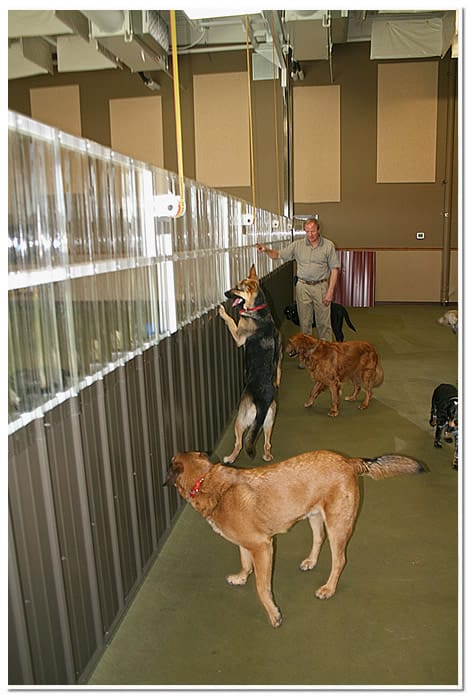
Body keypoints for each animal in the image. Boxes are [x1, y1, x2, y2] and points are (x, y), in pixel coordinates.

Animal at [164, 450, 424, 627]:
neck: (206, 480)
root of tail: (349, 462)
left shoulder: (262, 547)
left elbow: (261, 587)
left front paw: (273, 614)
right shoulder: (247, 545)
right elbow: (245, 563)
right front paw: (240, 578)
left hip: (338, 526)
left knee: (339, 560)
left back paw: (328, 589)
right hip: (315, 517)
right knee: (319, 539)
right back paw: (310, 562)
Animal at [218, 264, 282, 463]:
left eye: (238, 288)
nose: (225, 293)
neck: (258, 309)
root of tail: (262, 402)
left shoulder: (239, 337)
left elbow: (232, 321)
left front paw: (223, 312)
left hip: (240, 421)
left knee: (239, 443)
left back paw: (230, 458)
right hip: (269, 421)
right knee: (267, 443)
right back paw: (267, 456)